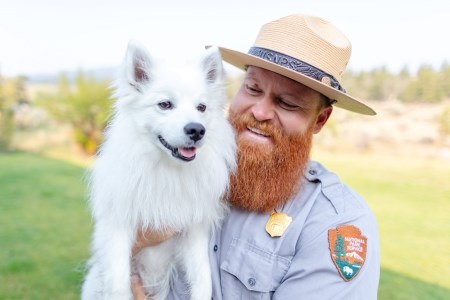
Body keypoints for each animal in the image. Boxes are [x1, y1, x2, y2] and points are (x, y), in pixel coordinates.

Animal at [81, 40, 236, 300]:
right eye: (165, 104)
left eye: (201, 107)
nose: (197, 130)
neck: (167, 168)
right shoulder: (118, 226)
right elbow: (119, 282)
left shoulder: (193, 230)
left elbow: (203, 278)